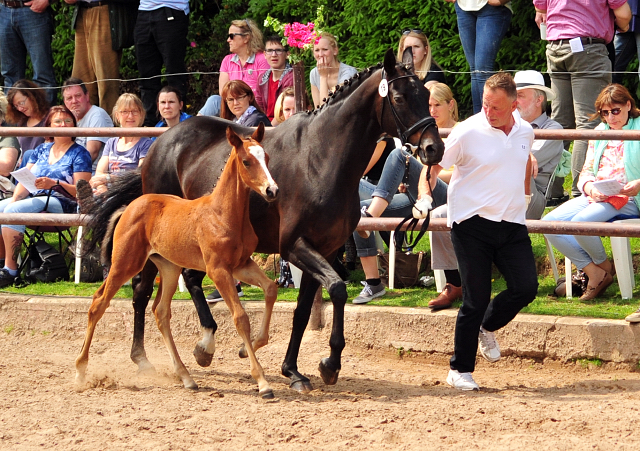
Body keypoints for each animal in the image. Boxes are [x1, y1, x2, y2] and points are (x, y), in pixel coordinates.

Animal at [75, 123, 280, 400]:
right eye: (247, 161)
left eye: (266, 158)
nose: (272, 190)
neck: (222, 214)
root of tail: (130, 206)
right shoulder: (218, 270)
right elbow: (240, 318)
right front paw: (262, 382)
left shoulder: (241, 265)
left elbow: (270, 289)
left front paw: (250, 347)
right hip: (125, 264)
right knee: (98, 303)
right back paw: (80, 371)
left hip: (169, 269)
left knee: (160, 312)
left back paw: (186, 377)